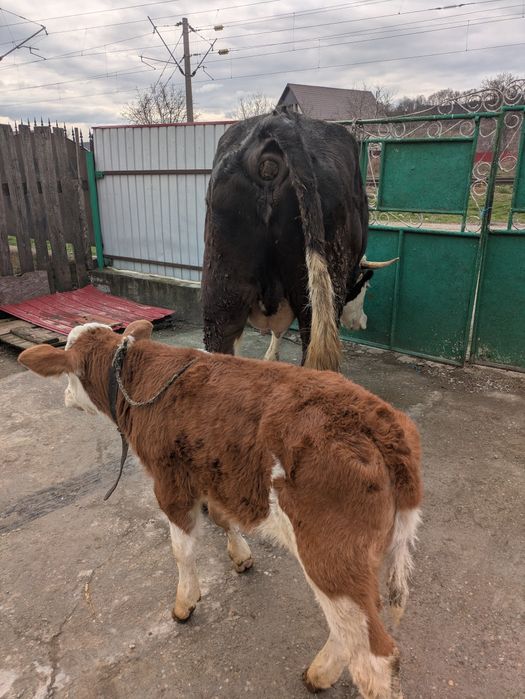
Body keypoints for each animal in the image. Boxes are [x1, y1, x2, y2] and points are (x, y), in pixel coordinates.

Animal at [18, 320, 422, 699]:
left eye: (68, 372)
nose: (65, 397)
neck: (138, 377)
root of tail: (381, 421)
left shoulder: (170, 482)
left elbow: (181, 551)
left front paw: (185, 603)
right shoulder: (213, 474)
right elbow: (221, 516)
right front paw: (240, 555)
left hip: (330, 553)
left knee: (373, 655)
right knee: (352, 628)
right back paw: (319, 673)